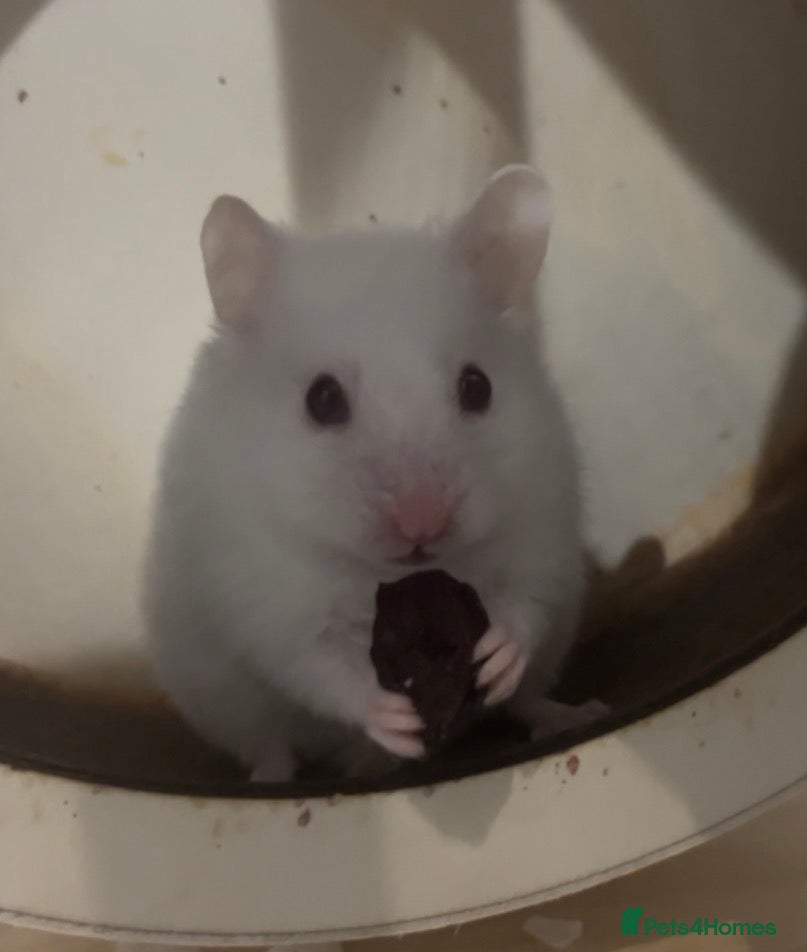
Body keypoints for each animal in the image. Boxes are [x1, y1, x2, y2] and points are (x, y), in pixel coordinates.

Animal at [142, 165, 606, 782]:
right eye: (322, 399)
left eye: (478, 386)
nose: (422, 525)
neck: (390, 577)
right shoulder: (273, 604)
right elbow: (326, 669)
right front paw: (395, 719)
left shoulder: (541, 534)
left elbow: (524, 608)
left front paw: (495, 656)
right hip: (220, 699)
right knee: (269, 745)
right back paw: (276, 779)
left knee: (530, 699)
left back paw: (580, 714)